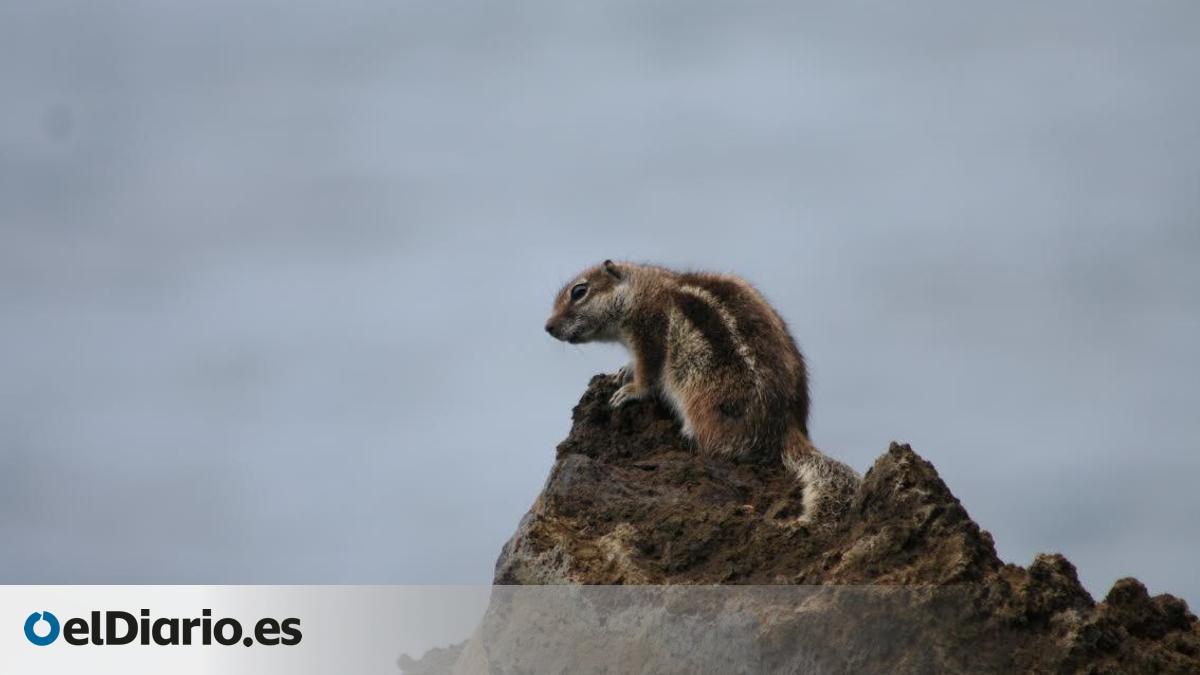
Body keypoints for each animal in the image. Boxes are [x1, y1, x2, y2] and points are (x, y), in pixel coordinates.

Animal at [544, 260, 860, 527]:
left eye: (579, 292)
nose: (548, 327)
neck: (643, 290)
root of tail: (788, 429)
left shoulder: (649, 334)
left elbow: (648, 375)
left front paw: (629, 391)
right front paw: (622, 370)